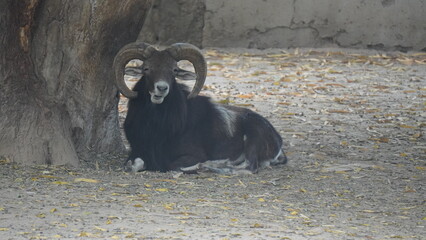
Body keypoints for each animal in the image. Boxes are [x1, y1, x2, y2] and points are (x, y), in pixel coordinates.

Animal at [113, 41, 288, 172]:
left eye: (174, 70)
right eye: (146, 68)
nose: (161, 88)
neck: (156, 127)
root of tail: (277, 140)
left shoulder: (191, 155)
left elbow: (172, 165)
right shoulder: (137, 151)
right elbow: (132, 166)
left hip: (253, 141)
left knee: (249, 168)